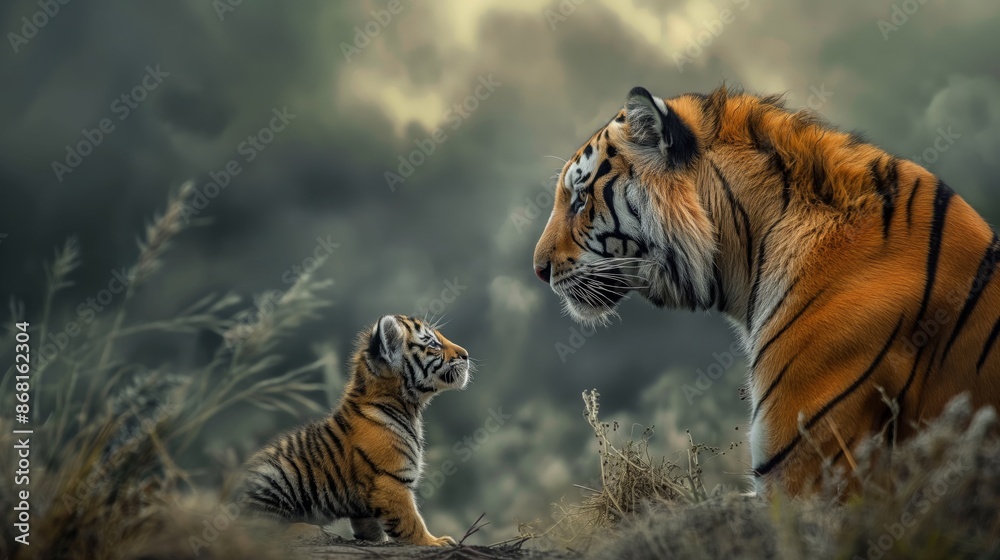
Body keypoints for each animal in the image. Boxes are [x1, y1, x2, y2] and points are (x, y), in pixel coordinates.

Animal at [237, 314, 471, 546]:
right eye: (433, 344)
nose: (466, 355)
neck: (408, 407)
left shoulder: (366, 503)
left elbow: (371, 527)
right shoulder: (389, 481)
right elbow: (410, 521)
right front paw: (434, 542)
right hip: (273, 480)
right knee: (260, 532)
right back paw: (314, 532)